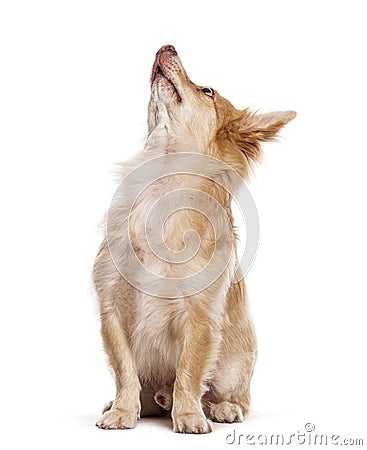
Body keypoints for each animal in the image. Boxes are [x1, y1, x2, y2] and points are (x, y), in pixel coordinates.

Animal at [93, 44, 298, 432]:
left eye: (207, 91)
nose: (167, 46)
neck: (162, 186)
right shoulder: (112, 305)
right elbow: (124, 368)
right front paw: (123, 411)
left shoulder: (201, 314)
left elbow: (190, 368)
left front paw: (188, 415)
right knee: (148, 389)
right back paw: (147, 401)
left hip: (235, 364)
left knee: (233, 396)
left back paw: (217, 407)